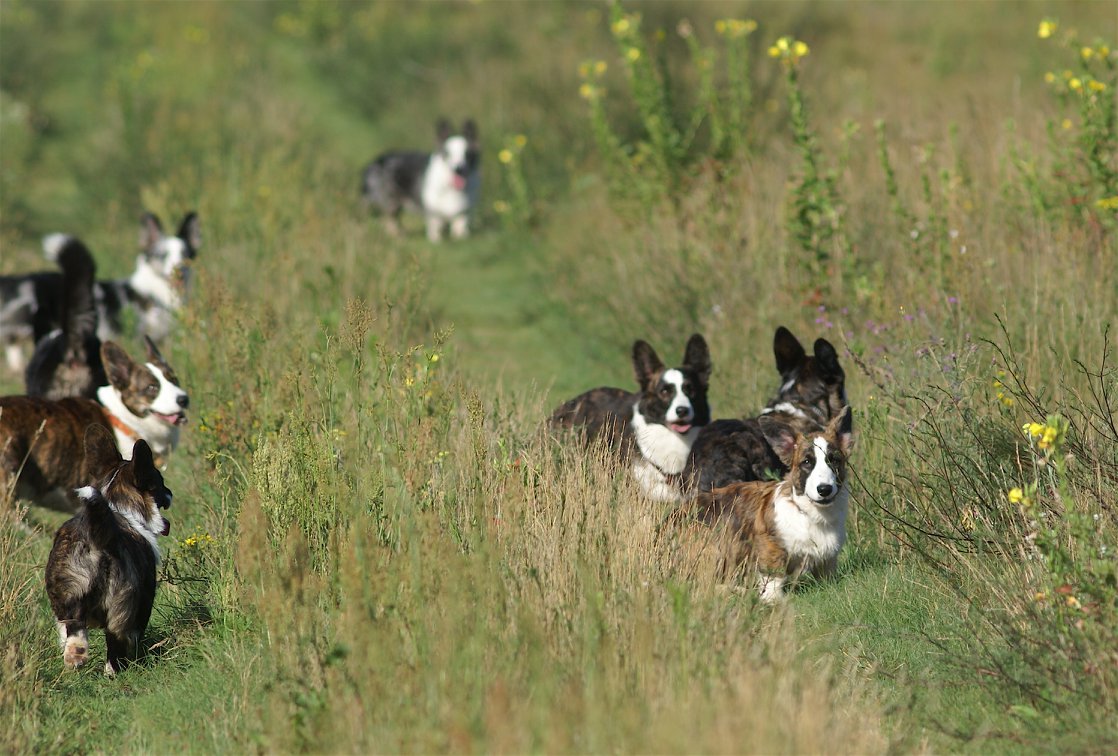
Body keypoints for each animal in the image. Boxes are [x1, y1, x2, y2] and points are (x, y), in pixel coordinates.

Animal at [44, 424, 172, 679]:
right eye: (159, 482)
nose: (171, 493)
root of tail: (98, 538)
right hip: (122, 607)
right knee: (115, 644)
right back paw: (114, 673)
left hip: (69, 594)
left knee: (74, 630)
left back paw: (76, 656)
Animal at [661, 407, 854, 603]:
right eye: (806, 462)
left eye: (834, 460)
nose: (824, 489)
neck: (810, 514)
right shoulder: (770, 550)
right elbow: (773, 583)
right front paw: (771, 598)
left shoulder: (827, 562)